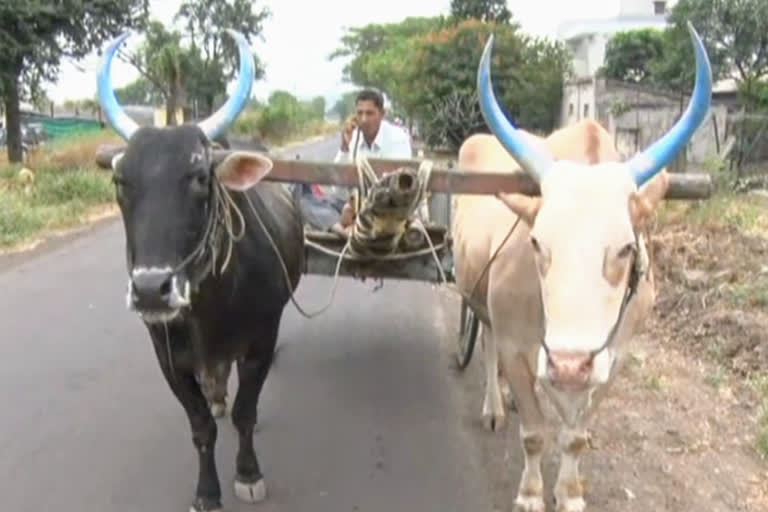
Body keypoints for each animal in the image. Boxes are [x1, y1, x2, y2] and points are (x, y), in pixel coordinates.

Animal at [450, 23, 712, 512]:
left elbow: (574, 436)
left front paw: (569, 493)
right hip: (482, 304)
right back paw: (496, 405)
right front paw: (531, 494)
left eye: (626, 248)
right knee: (488, 344)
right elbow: (535, 433)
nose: (570, 365)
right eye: (537, 242)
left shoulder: (614, 357)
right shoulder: (517, 344)